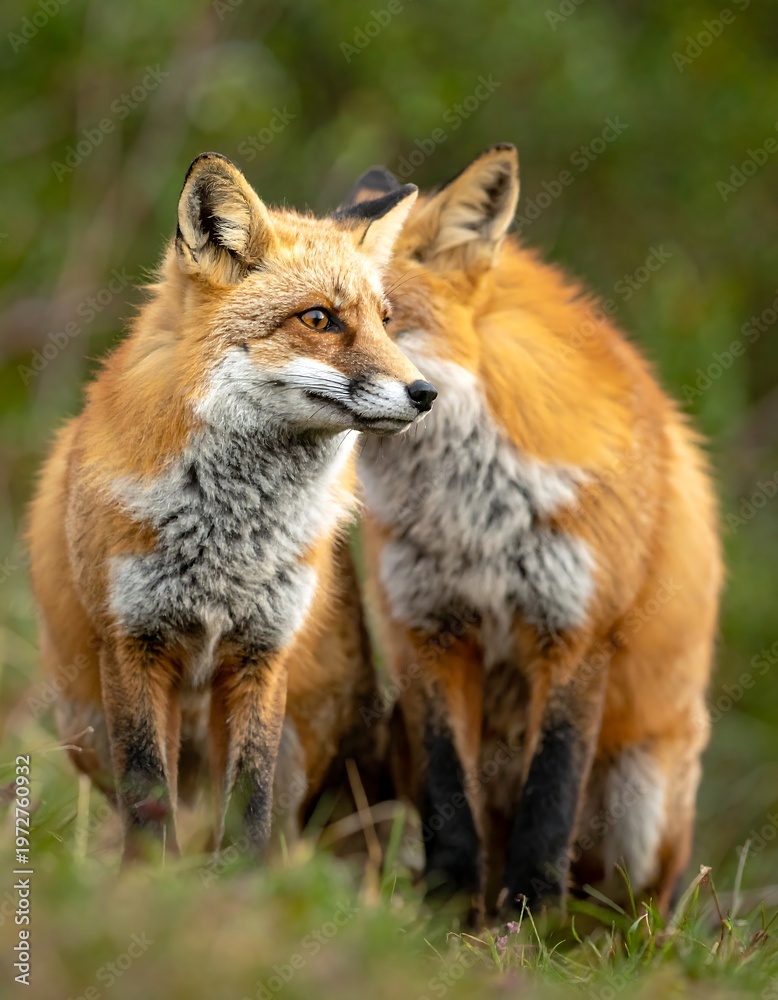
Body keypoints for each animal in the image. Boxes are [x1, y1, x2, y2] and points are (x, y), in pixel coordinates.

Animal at [27, 152, 438, 863]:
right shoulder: (133, 644)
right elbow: (147, 793)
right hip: (84, 726)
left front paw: (241, 886)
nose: (425, 393)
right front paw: (148, 880)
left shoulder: (261, 651)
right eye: (318, 319)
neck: (232, 536)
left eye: (385, 322)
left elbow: (249, 797)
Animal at [345, 145, 722, 917]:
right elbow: (449, 800)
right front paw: (445, 910)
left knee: (631, 907)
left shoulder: (576, 633)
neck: (470, 517)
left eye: (381, 318)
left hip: (645, 794)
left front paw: (532, 918)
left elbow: (550, 799)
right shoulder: (425, 631)